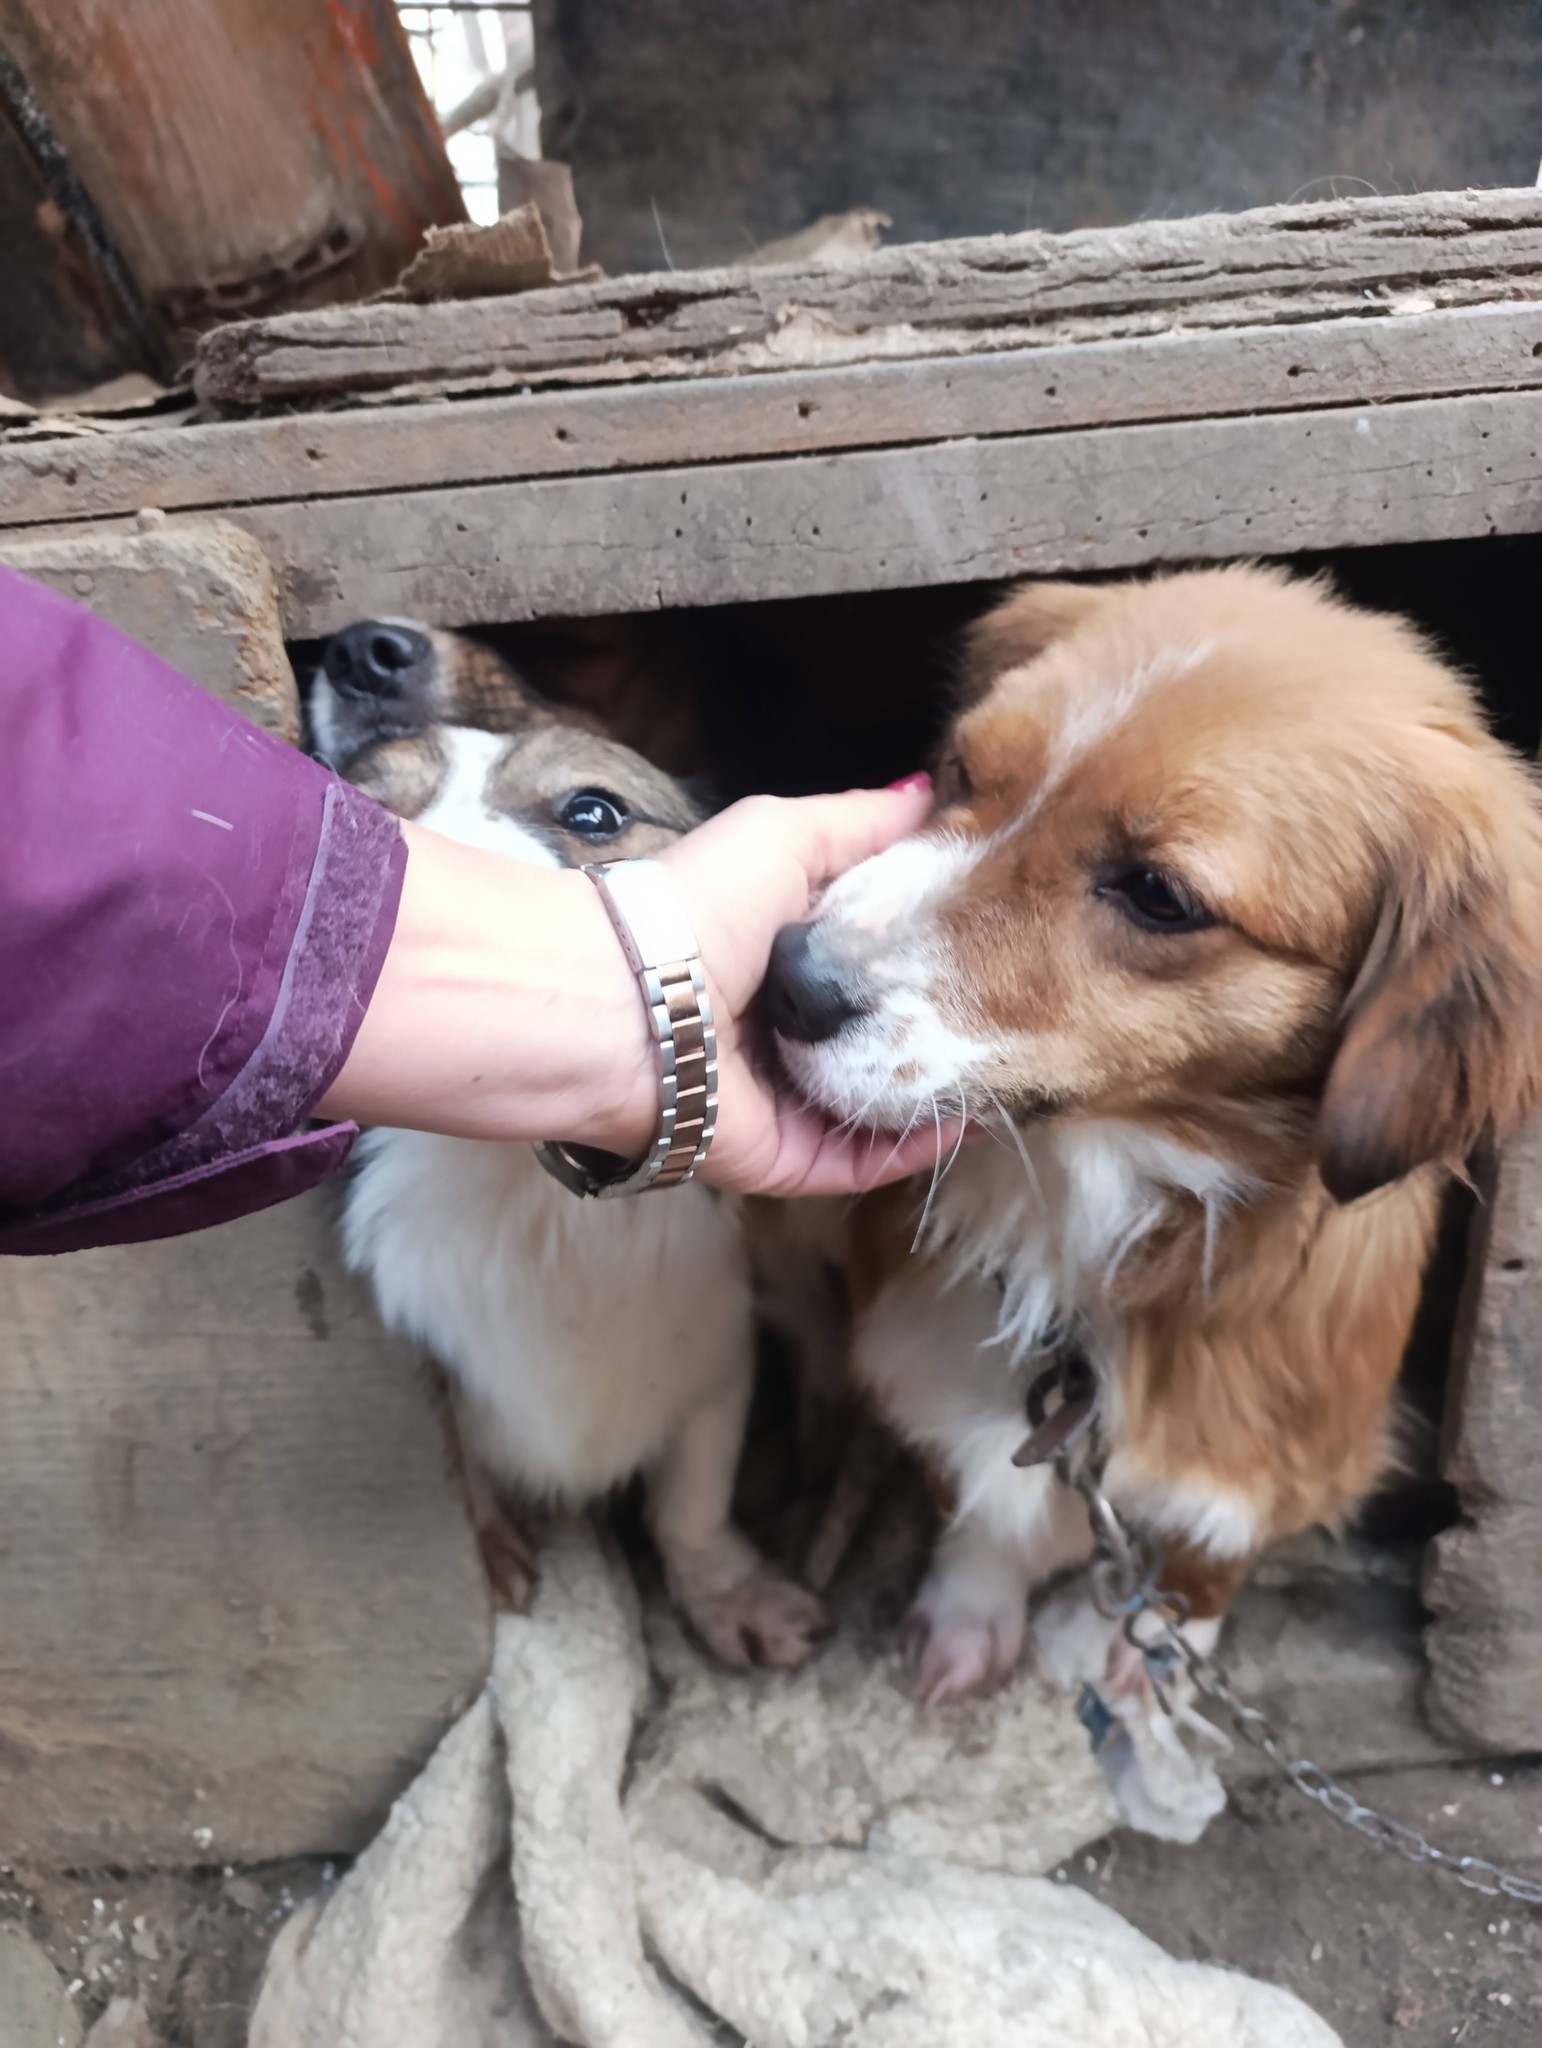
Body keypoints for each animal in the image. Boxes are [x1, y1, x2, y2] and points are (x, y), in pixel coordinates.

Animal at [310, 627, 828, 1668]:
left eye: (595, 809)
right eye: (362, 809)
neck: (530, 1205)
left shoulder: (717, 1363)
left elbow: (692, 1505)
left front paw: (728, 1592)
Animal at [765, 564, 1542, 1709]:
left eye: (1158, 895)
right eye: (959, 768)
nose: (787, 979)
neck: (1088, 1204)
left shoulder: (1290, 1442)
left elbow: (1210, 1548)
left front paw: (1153, 1647)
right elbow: (978, 1499)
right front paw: (968, 1611)